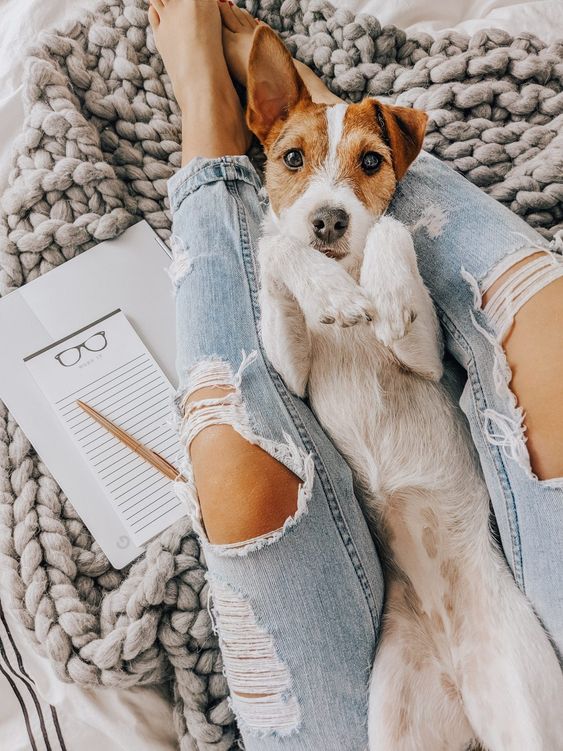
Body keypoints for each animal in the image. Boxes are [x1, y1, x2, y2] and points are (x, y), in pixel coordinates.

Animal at [246, 23, 563, 751]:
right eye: (291, 157)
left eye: (370, 163)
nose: (328, 220)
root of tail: (459, 682)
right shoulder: (291, 370)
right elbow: (275, 251)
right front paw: (328, 291)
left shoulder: (426, 359)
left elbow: (392, 230)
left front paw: (383, 292)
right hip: (395, 720)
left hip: (529, 705)